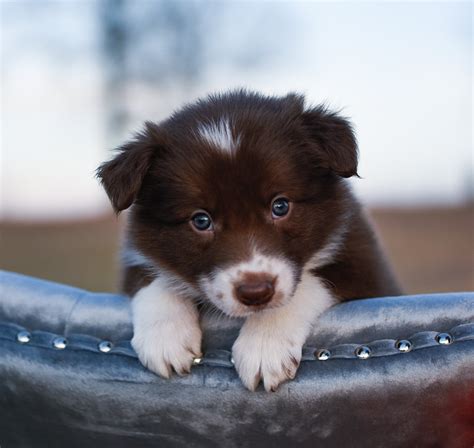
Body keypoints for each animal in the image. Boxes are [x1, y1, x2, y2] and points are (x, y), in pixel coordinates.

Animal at [96, 90, 400, 392]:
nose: (256, 293)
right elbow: (152, 277)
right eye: (201, 220)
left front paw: (264, 347)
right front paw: (165, 338)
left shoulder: (365, 263)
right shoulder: (139, 251)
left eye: (280, 206)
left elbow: (310, 284)